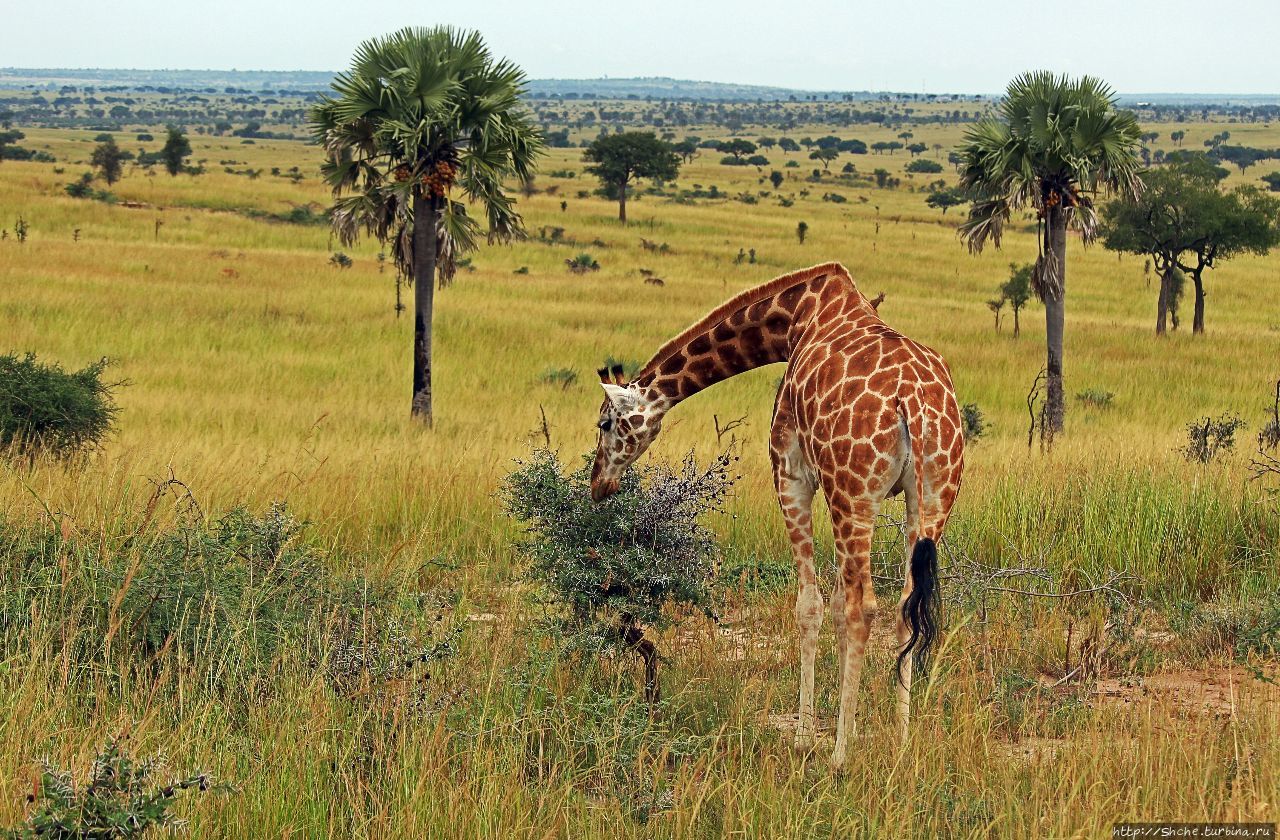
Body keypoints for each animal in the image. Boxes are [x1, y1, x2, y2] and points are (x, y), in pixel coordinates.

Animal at [588, 261, 962, 768]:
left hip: (853, 493)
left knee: (863, 607)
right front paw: (853, 727)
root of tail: (916, 405)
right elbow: (834, 608)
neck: (793, 321)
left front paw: (807, 736)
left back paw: (839, 759)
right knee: (906, 605)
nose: (597, 485)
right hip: (933, 498)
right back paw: (903, 745)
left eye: (605, 423)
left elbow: (811, 606)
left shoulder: (791, 473)